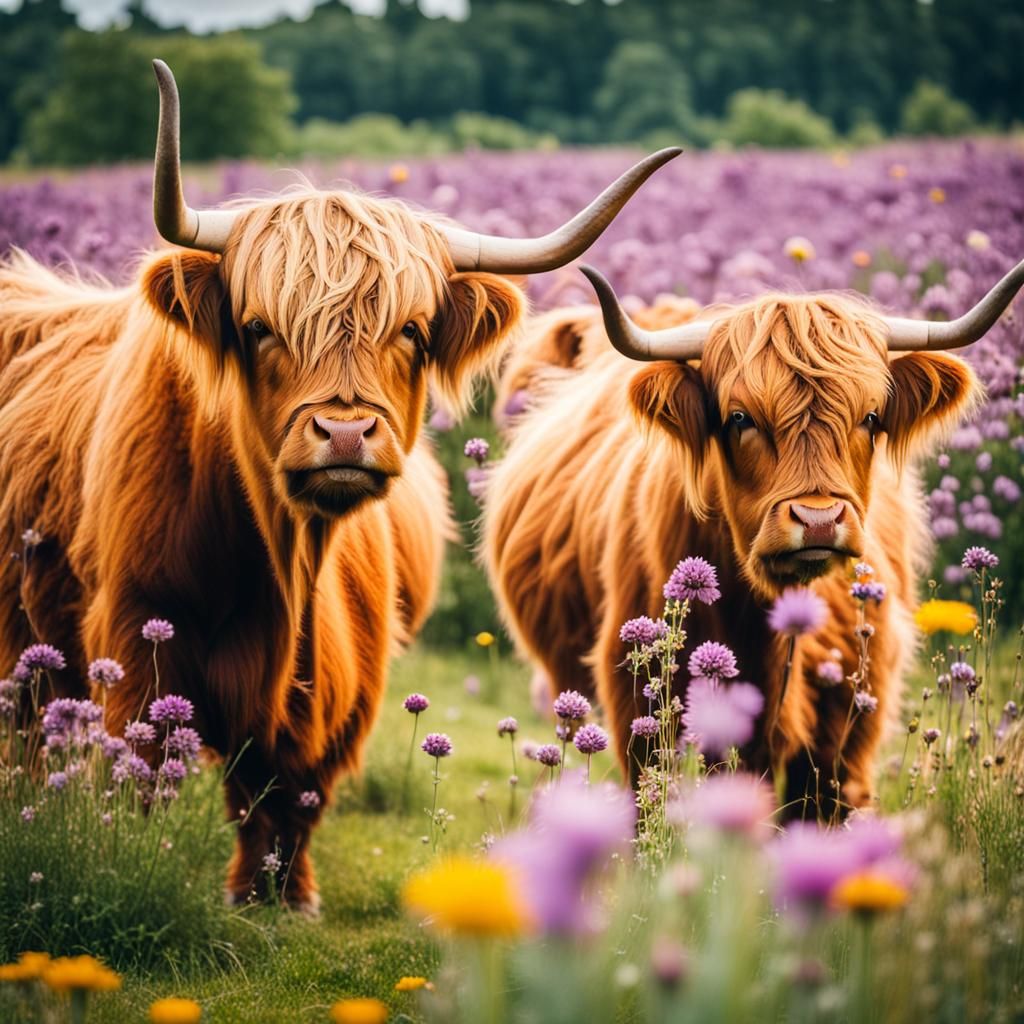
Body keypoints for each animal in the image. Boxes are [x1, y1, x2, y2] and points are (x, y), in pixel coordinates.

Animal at [0, 60, 678, 911]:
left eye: (412, 330)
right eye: (258, 327)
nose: (347, 434)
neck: (284, 566)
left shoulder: (343, 676)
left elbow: (289, 792)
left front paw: (282, 895)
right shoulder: (138, 633)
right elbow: (144, 770)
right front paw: (143, 861)